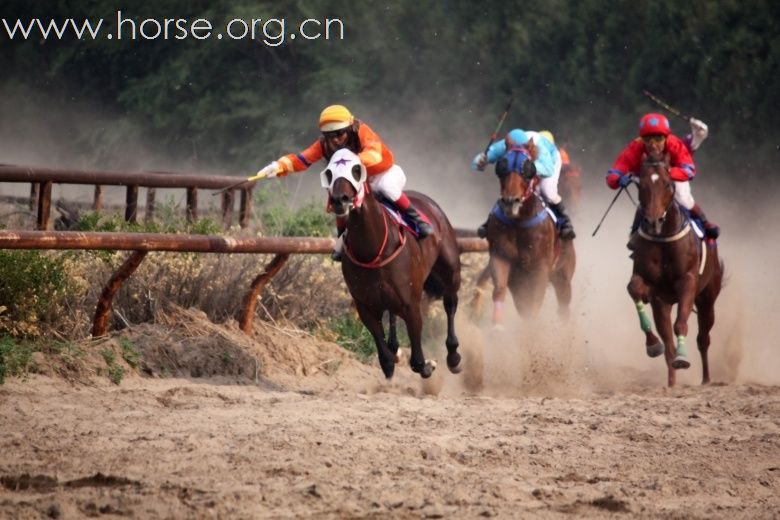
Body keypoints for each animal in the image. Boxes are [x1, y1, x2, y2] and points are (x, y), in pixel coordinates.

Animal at [322, 148, 464, 380]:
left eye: (356, 170)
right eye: (329, 173)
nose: (339, 200)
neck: (373, 250)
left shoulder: (411, 304)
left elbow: (417, 360)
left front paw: (428, 364)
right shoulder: (365, 306)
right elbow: (385, 358)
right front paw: (392, 359)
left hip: (450, 271)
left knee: (450, 304)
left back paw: (453, 357)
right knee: (393, 316)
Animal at [470, 149, 572, 324]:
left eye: (527, 171)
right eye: (502, 168)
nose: (511, 202)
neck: (519, 222)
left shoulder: (540, 269)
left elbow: (535, 305)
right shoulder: (503, 260)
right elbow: (500, 289)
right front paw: (497, 325)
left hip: (563, 276)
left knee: (563, 307)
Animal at [628, 154, 724, 386]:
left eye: (667, 184)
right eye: (641, 185)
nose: (653, 221)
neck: (664, 239)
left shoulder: (687, 282)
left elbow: (681, 324)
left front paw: (682, 358)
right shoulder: (656, 294)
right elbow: (635, 288)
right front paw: (653, 344)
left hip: (708, 299)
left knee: (703, 338)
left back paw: (706, 379)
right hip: (663, 304)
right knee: (669, 344)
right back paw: (672, 382)